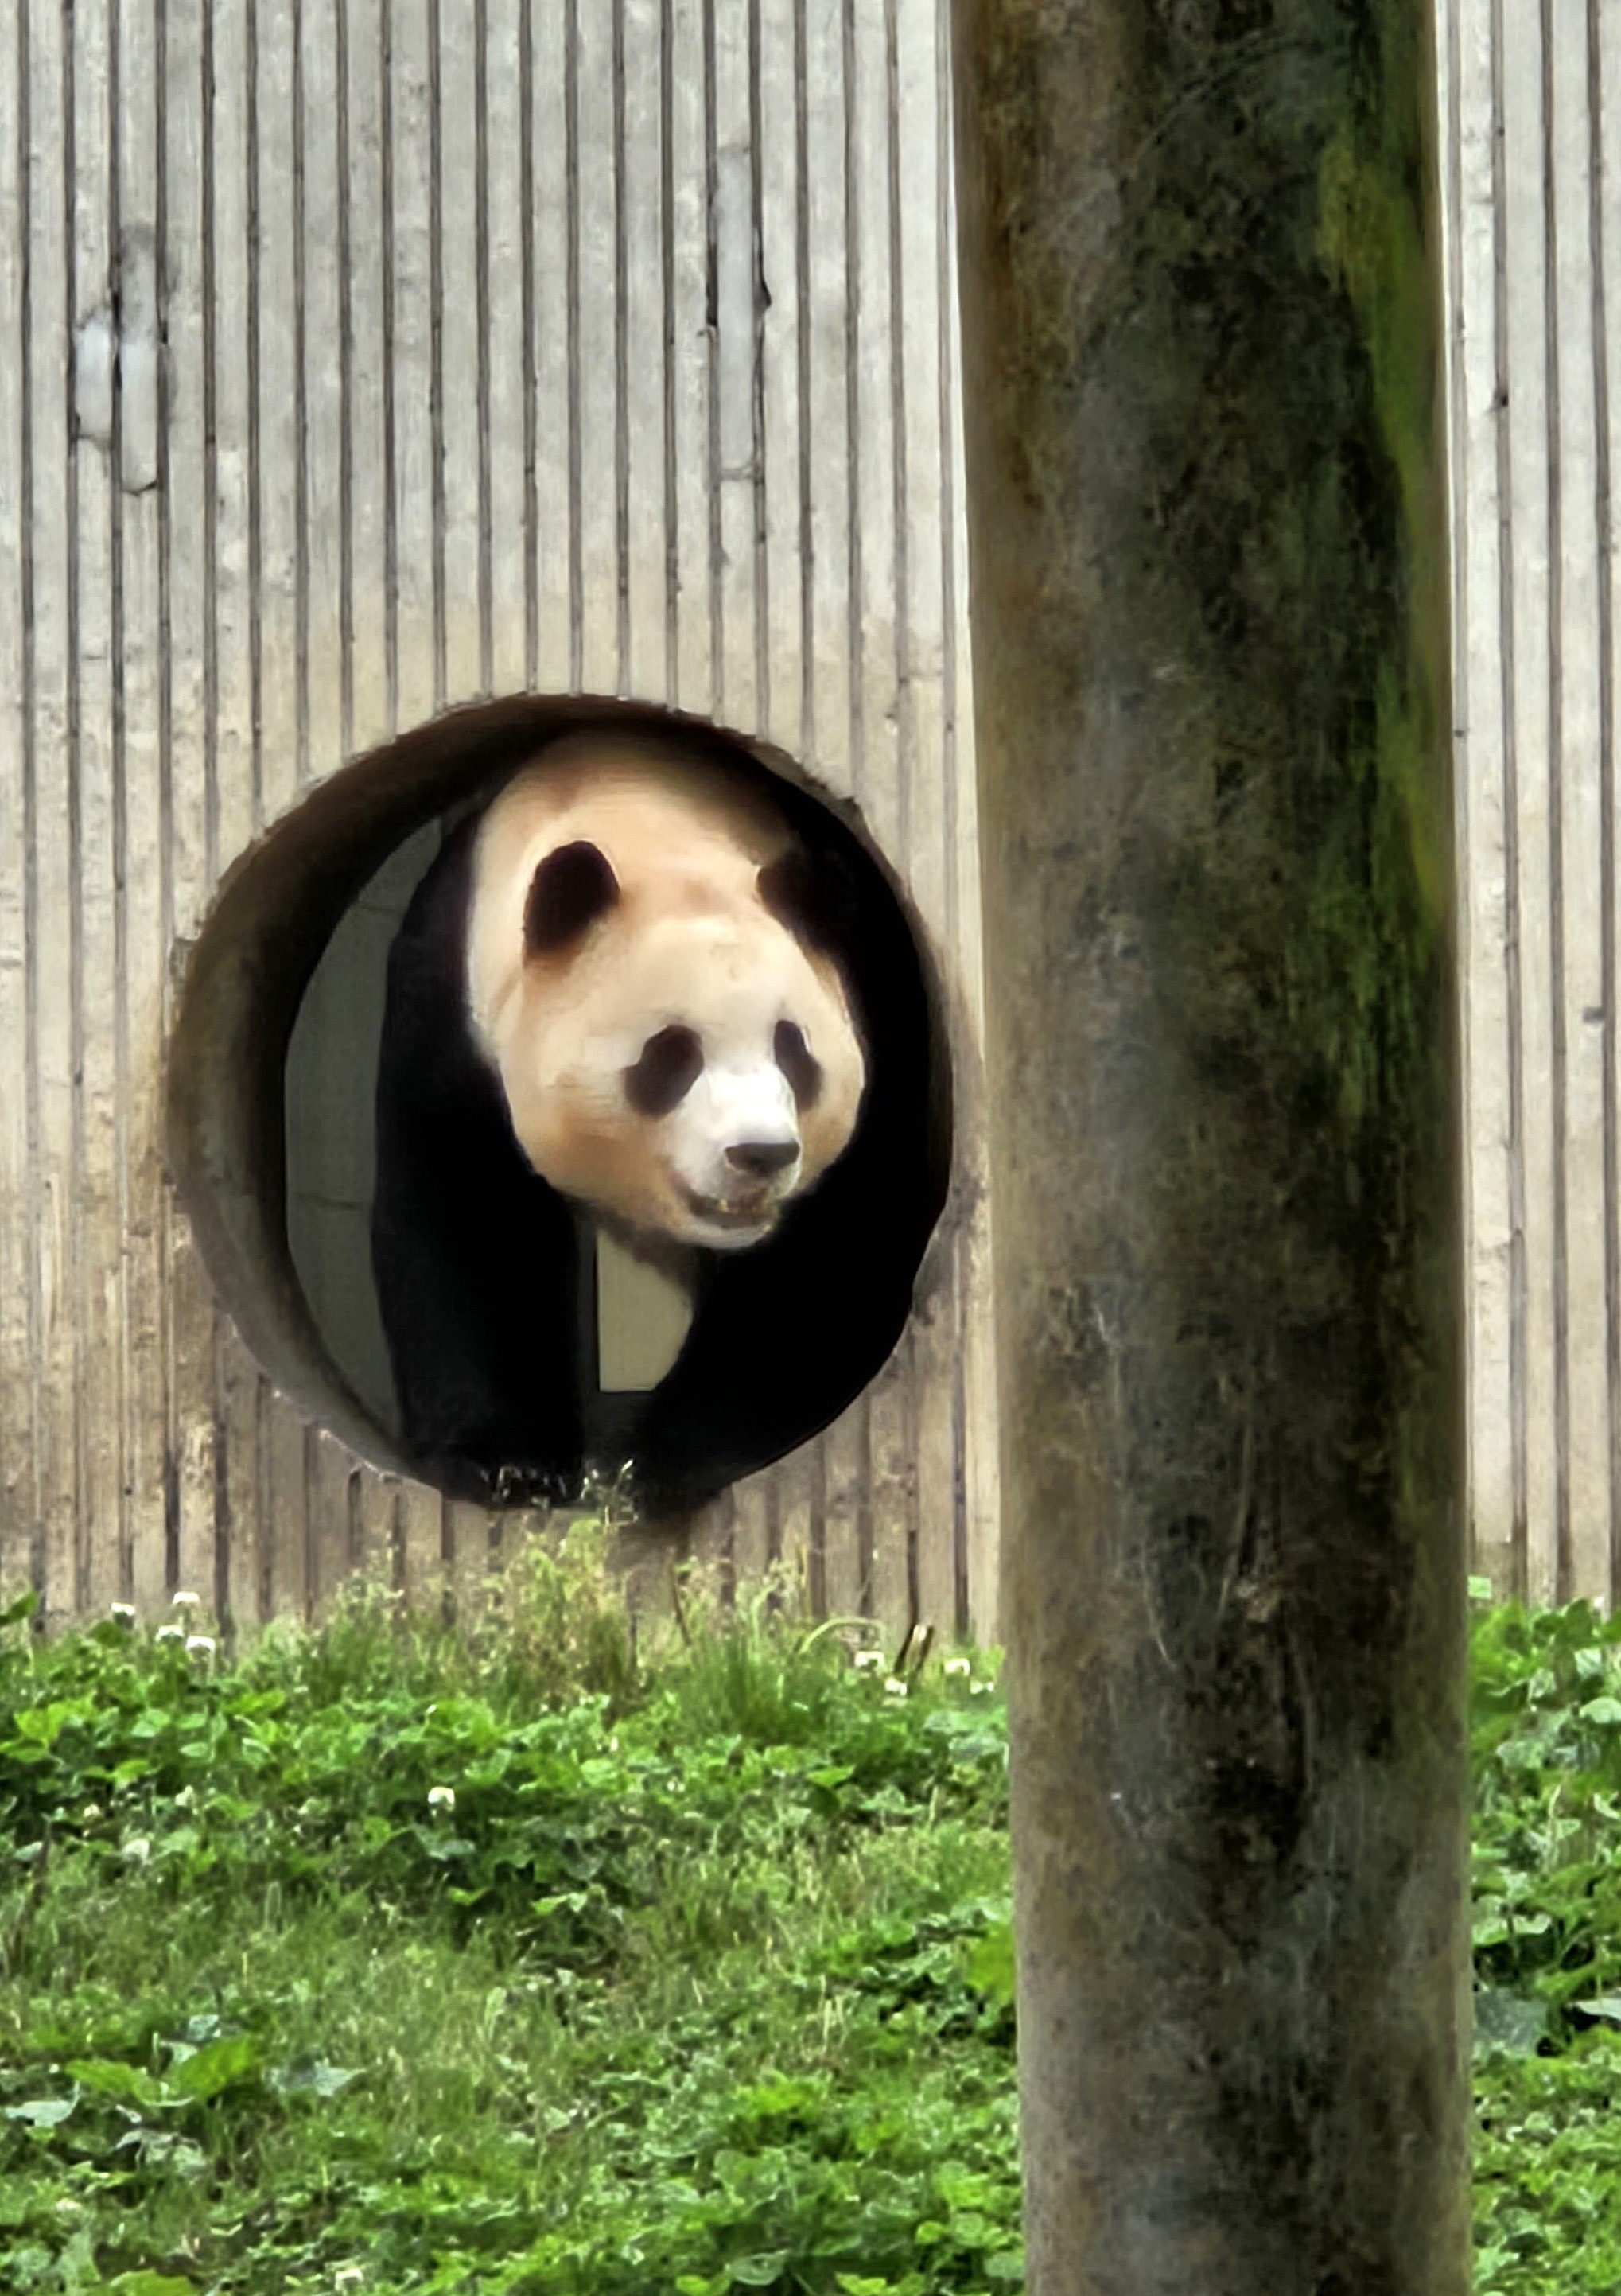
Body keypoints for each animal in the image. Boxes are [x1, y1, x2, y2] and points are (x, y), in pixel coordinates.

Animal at [371, 725, 941, 1515]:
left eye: (794, 1050)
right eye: (671, 1054)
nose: (760, 1154)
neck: (643, 815)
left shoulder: (873, 990)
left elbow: (826, 1261)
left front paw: (659, 1465)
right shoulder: (451, 1003)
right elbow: (466, 1217)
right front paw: (509, 1467)